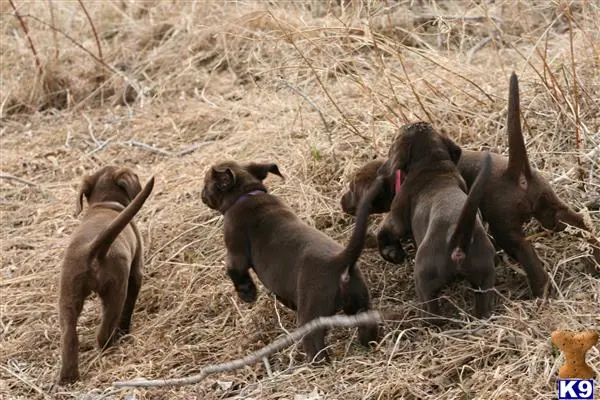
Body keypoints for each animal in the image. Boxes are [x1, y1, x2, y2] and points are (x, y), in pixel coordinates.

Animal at [58, 166, 155, 384]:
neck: (105, 204)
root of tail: (92, 248)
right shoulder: (136, 272)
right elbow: (129, 308)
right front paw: (125, 330)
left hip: (68, 295)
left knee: (69, 336)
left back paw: (68, 377)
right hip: (116, 289)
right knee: (105, 330)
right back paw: (112, 345)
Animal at [199, 160, 382, 362]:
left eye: (206, 183)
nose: (201, 195)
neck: (245, 195)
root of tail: (339, 261)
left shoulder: (235, 251)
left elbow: (235, 272)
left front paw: (247, 294)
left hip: (311, 315)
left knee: (315, 345)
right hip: (361, 303)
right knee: (367, 326)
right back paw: (369, 346)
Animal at [338, 72, 596, 296]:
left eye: (352, 188)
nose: (341, 201)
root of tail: (515, 172)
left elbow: (380, 235)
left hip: (506, 229)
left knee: (528, 255)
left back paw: (540, 292)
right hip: (552, 211)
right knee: (580, 223)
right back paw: (594, 259)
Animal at [376, 122, 496, 322]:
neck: (431, 164)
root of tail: (458, 241)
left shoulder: (397, 217)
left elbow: (383, 232)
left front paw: (391, 253)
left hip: (424, 276)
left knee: (432, 312)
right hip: (485, 277)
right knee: (482, 305)